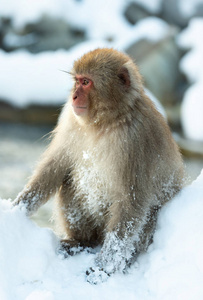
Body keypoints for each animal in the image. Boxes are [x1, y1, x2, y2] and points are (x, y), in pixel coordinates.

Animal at [14, 47, 185, 284]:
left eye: (86, 82)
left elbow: (132, 202)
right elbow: (55, 167)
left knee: (145, 214)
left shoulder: (136, 140)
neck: (105, 122)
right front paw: (16, 210)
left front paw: (104, 267)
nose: (73, 95)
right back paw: (81, 242)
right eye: (77, 81)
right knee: (70, 180)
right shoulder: (71, 120)